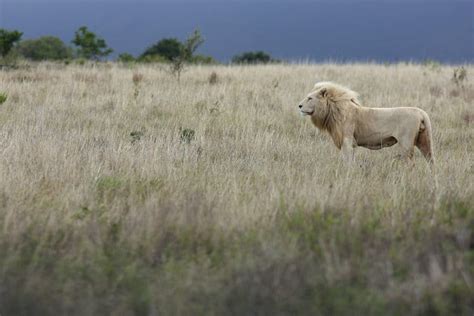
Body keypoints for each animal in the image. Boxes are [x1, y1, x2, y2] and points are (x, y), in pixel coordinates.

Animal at [298, 81, 436, 164]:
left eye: (310, 98)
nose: (299, 106)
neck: (333, 111)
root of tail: (421, 113)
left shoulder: (347, 140)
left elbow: (347, 161)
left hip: (406, 144)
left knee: (410, 164)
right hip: (424, 141)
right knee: (431, 161)